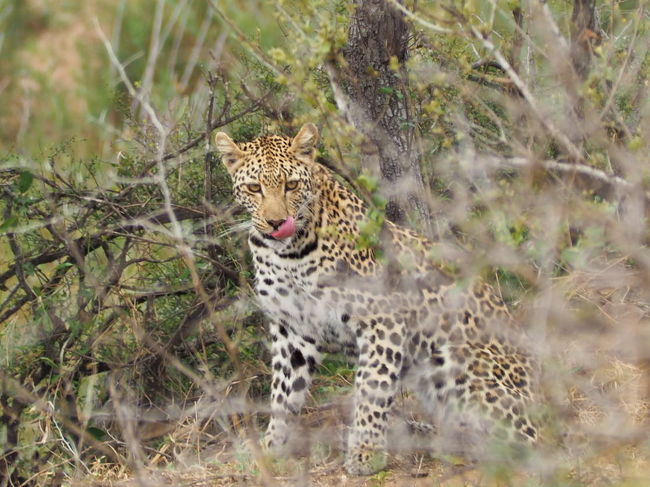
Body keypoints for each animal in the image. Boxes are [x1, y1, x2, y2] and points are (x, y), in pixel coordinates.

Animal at [213, 124, 536, 474]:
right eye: (254, 187)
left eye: (292, 185)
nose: (276, 223)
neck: (288, 253)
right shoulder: (292, 331)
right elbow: (283, 393)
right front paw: (272, 446)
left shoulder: (381, 320)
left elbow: (372, 386)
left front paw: (366, 453)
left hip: (455, 359)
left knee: (530, 439)